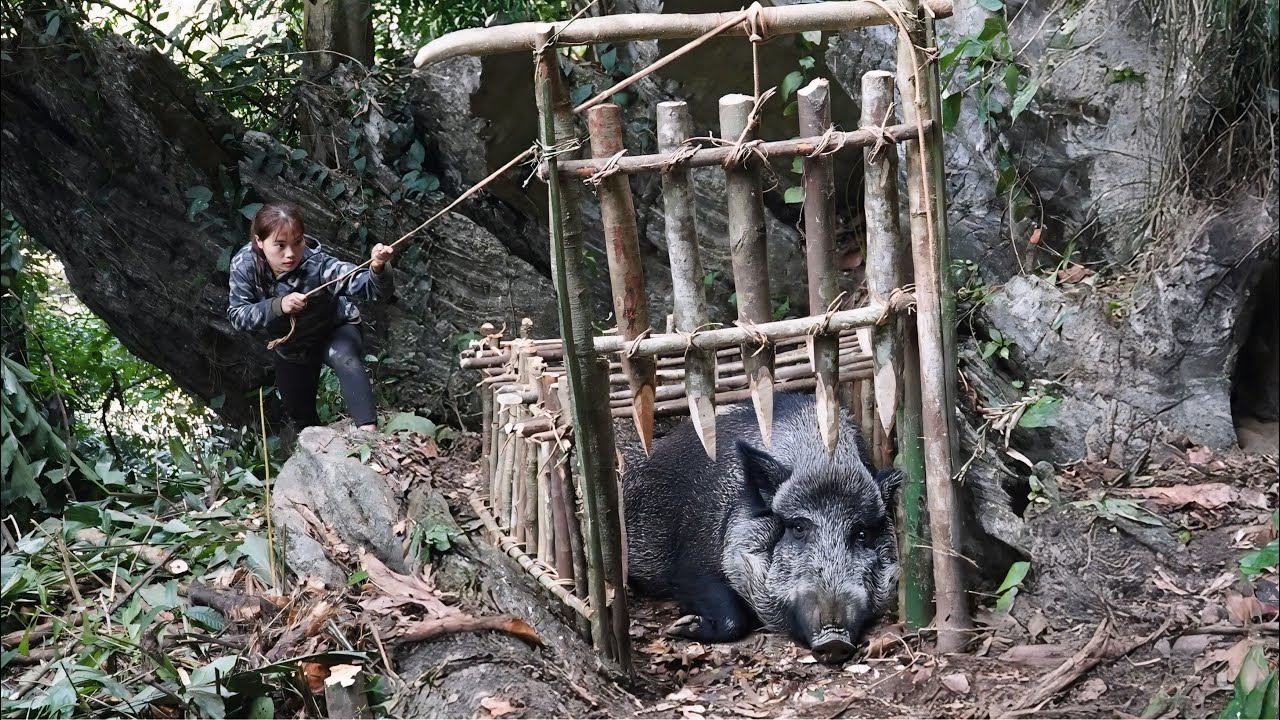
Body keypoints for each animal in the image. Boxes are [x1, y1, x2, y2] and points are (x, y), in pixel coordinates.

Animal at [622, 391, 902, 663]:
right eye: (797, 528)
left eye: (862, 534)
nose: (834, 640)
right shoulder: (692, 561)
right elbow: (726, 612)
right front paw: (679, 627)